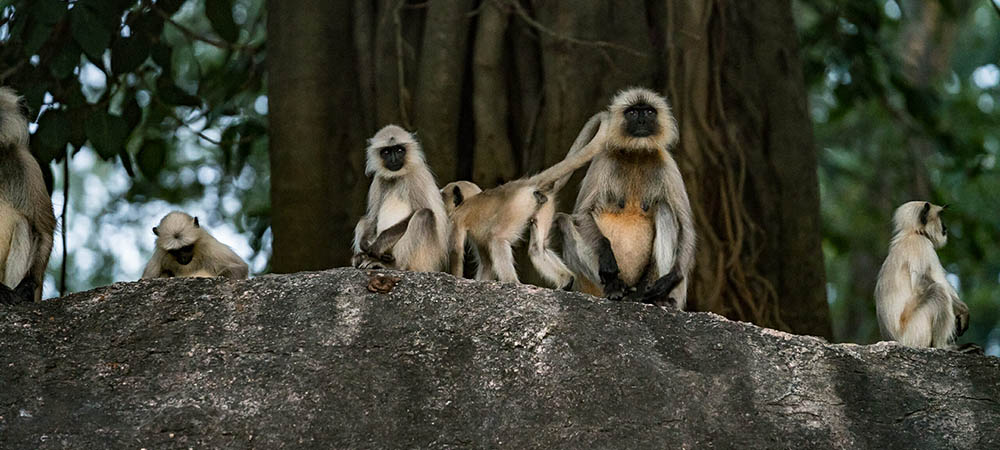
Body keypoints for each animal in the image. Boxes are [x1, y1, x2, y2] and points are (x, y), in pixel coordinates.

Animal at [352, 124, 446, 270]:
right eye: (386, 152)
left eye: (399, 150)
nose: (394, 159)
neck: (397, 177)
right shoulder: (378, 180)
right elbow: (373, 217)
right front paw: (364, 246)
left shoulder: (416, 176)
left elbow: (422, 210)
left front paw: (376, 248)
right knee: (364, 219)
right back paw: (361, 257)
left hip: (424, 259)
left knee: (424, 214)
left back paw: (392, 265)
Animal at [444, 112, 608, 288]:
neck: (469, 200)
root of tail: (524, 183)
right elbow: (487, 263)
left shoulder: (457, 219)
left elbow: (456, 252)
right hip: (543, 205)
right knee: (537, 250)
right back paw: (566, 281)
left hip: (517, 207)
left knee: (497, 239)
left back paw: (512, 283)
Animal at [560, 86, 692, 308]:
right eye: (632, 112)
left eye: (648, 112)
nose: (641, 121)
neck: (637, 154)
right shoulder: (603, 159)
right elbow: (582, 213)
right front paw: (607, 259)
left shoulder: (667, 163)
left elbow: (686, 225)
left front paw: (672, 278)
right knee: (566, 221)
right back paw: (615, 288)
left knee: (665, 208)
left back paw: (651, 297)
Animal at [876, 202, 976, 354]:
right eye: (940, 216)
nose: (945, 227)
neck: (914, 233)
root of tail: (894, 339)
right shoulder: (920, 244)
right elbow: (921, 284)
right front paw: (963, 310)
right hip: (914, 334)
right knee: (938, 291)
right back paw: (943, 347)